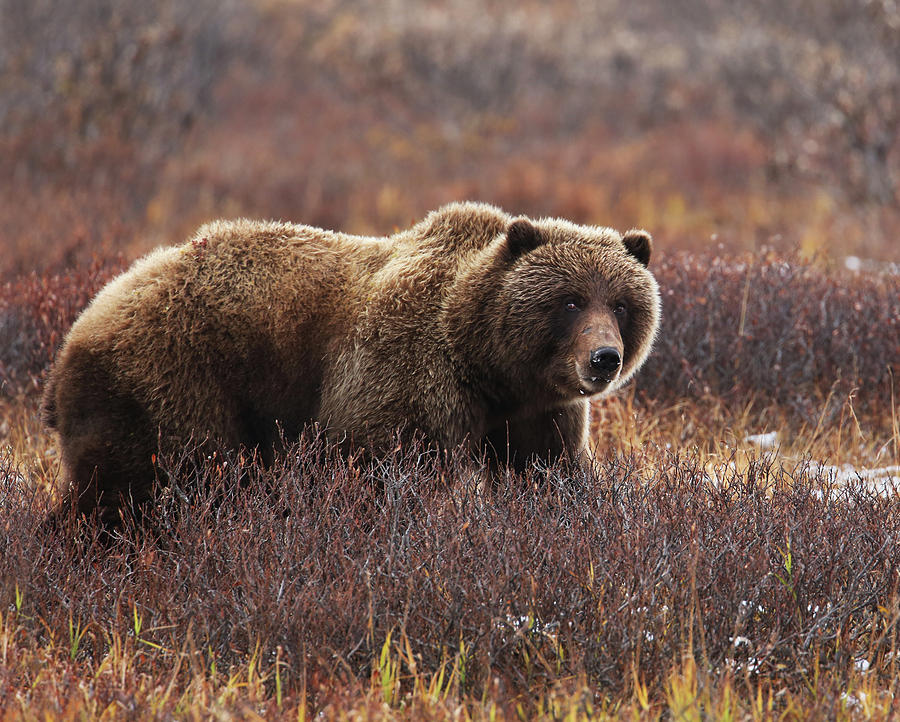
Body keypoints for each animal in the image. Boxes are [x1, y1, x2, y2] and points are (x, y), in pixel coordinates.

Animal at [42, 202, 660, 524]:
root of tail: (83, 321)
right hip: (174, 379)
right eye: (570, 301)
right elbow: (381, 468)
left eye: (621, 303)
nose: (604, 358)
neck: (484, 364)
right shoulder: (407, 376)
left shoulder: (534, 413)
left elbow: (550, 473)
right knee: (144, 485)